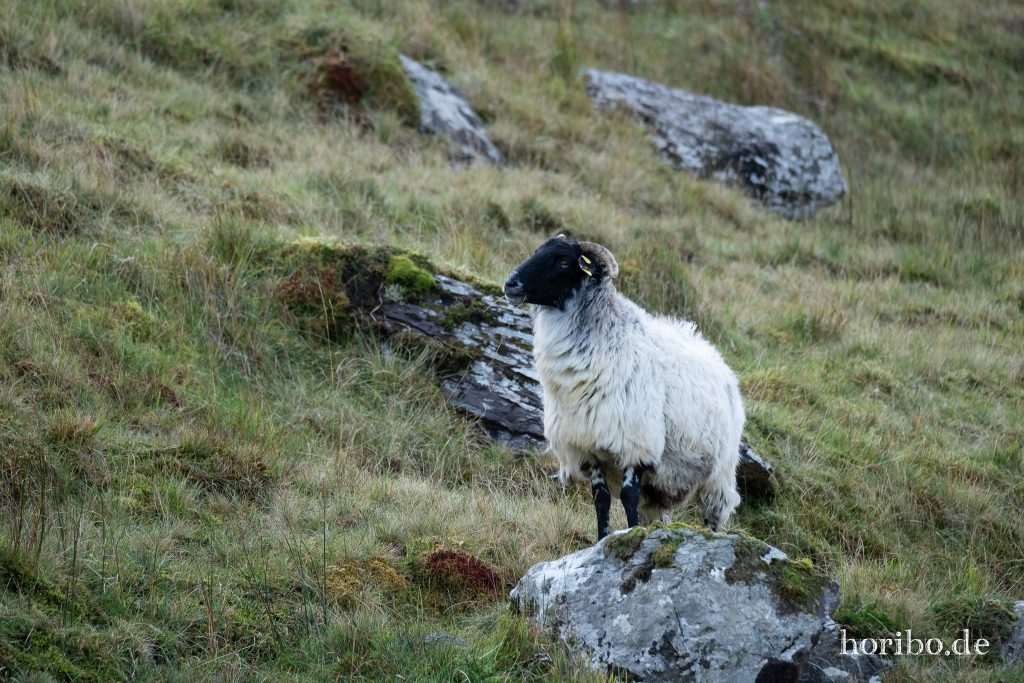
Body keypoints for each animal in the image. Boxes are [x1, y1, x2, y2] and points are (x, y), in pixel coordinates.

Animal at [503, 235, 744, 540]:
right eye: (538, 252)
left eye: (563, 261)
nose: (510, 284)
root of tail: (718, 359)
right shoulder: (587, 448)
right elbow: (601, 500)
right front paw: (602, 539)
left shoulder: (635, 444)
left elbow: (629, 496)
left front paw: (631, 535)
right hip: (659, 487)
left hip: (720, 475)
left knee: (714, 513)